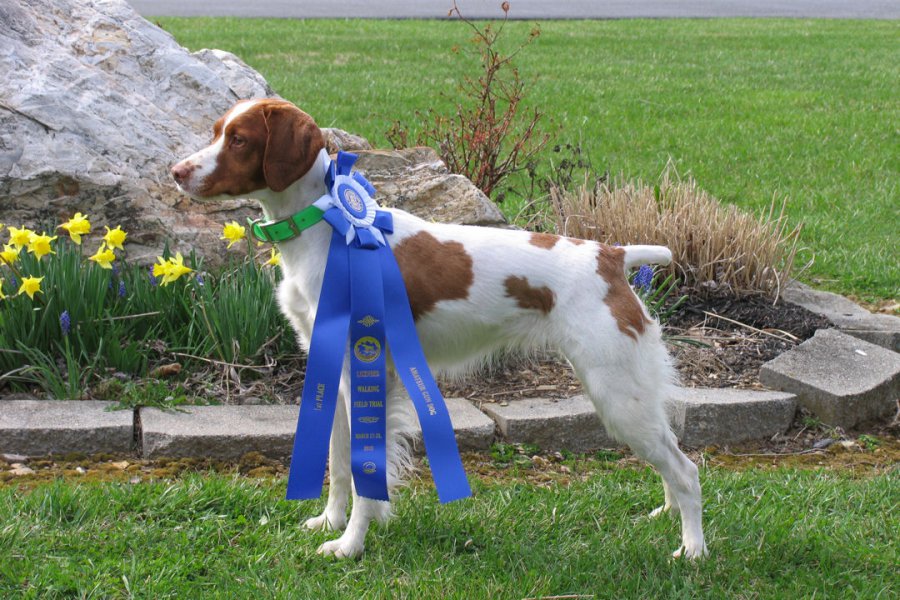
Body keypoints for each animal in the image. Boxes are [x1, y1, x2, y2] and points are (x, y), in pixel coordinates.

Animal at [167, 96, 704, 560]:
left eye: (239, 139)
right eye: (217, 131)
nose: (176, 172)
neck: (326, 230)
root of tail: (611, 255)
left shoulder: (365, 370)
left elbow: (364, 471)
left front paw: (350, 545)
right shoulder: (333, 369)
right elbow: (338, 465)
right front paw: (330, 524)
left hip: (617, 394)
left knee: (687, 469)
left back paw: (692, 551)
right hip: (629, 395)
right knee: (670, 459)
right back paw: (664, 515)